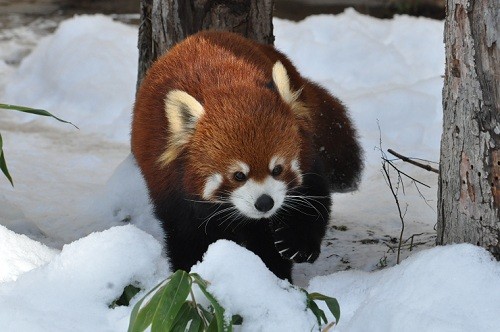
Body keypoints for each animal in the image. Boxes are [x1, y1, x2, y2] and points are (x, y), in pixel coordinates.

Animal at [131, 31, 362, 282]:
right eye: (239, 175)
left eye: (277, 169)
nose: (265, 203)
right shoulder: (172, 191)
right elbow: (187, 237)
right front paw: (189, 273)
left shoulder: (307, 154)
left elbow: (313, 197)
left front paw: (295, 249)